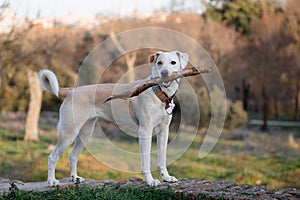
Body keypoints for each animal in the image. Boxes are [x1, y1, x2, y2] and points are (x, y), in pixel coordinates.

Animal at [38, 50, 189, 186]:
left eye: (173, 62)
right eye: (159, 63)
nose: (164, 73)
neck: (158, 93)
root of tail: (72, 91)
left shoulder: (163, 131)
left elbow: (162, 158)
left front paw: (166, 177)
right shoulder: (145, 131)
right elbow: (146, 162)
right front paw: (151, 181)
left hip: (85, 134)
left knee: (73, 156)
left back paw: (75, 179)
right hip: (68, 132)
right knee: (52, 157)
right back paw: (51, 181)